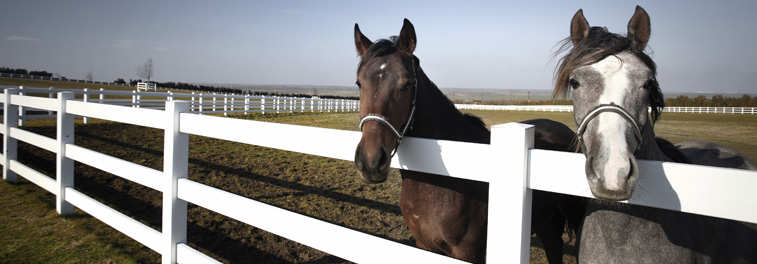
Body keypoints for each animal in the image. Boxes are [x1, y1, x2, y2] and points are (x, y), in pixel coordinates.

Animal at [352, 18, 580, 262]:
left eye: (407, 84)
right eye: (359, 83)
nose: (370, 161)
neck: (441, 182)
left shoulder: (468, 251)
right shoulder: (424, 245)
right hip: (547, 222)